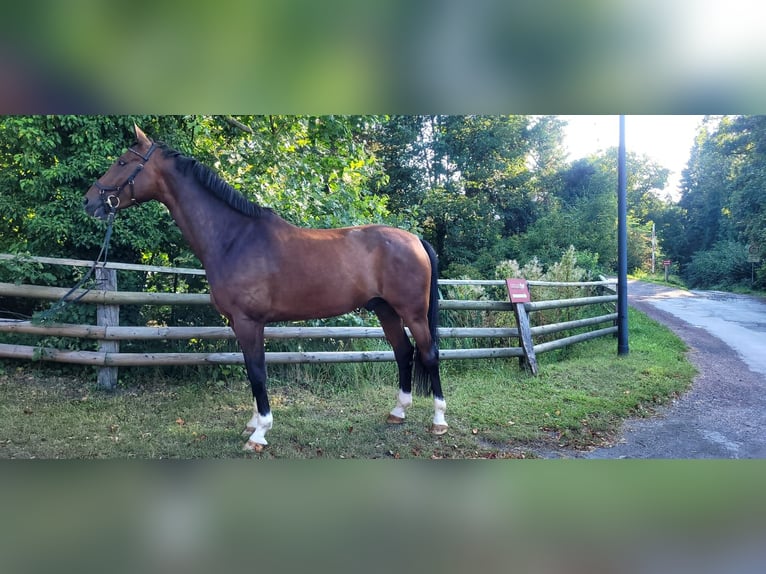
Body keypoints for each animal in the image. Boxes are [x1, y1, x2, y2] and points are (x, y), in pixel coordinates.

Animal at [81, 126, 448, 454]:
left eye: (122, 162)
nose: (88, 201)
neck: (234, 238)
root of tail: (415, 239)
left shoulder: (249, 322)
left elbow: (258, 373)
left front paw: (259, 434)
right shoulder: (238, 323)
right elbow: (250, 371)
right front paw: (254, 423)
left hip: (412, 312)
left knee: (428, 353)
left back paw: (439, 421)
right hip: (385, 310)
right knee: (403, 352)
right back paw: (397, 412)